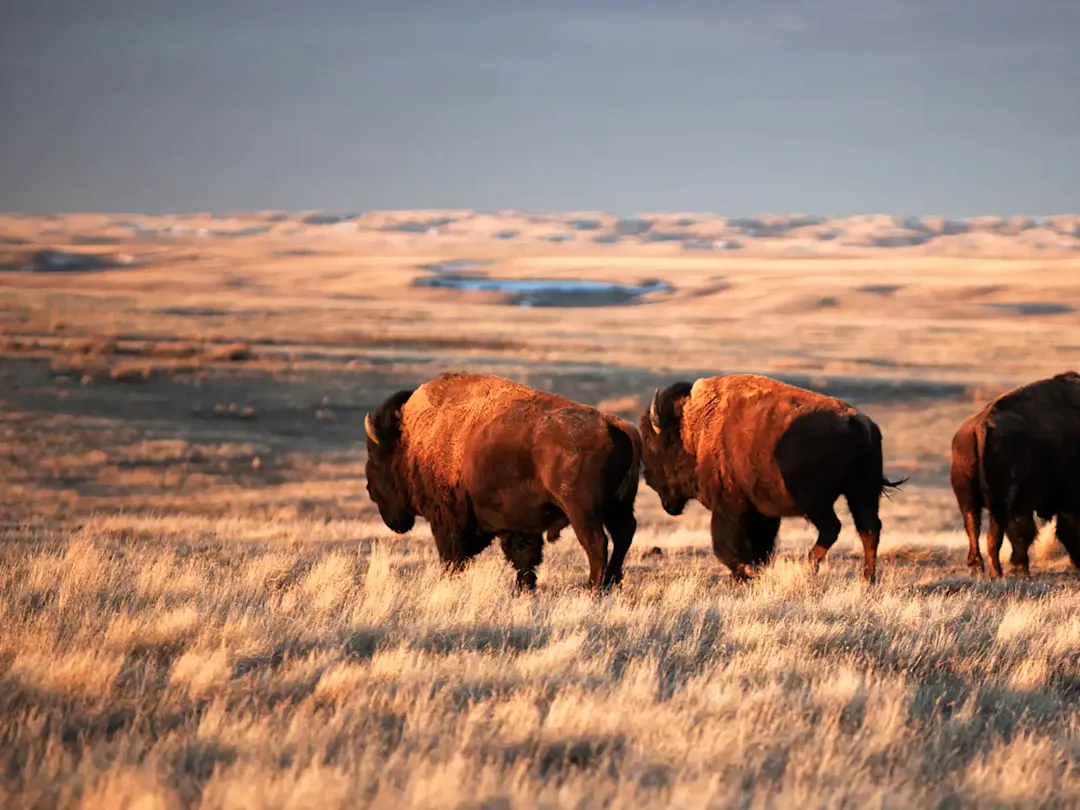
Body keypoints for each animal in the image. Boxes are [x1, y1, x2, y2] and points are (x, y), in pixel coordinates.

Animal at [367, 373, 643, 591]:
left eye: (376, 459)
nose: (370, 489)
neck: (410, 441)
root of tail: (614, 424)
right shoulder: (518, 523)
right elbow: (523, 557)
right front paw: (525, 587)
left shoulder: (447, 519)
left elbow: (453, 555)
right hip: (619, 506)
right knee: (623, 536)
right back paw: (611, 583)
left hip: (583, 512)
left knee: (597, 544)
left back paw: (593, 589)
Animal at [635, 373, 907, 583]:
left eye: (650, 440)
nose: (646, 477)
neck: (695, 428)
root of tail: (857, 422)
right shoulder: (761, 511)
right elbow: (759, 544)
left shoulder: (730, 505)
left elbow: (726, 544)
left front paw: (745, 572)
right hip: (861, 492)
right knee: (868, 529)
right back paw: (867, 580)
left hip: (817, 501)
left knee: (833, 527)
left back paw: (809, 567)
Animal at [950, 371, 1080, 578]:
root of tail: (981, 425)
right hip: (1002, 502)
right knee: (993, 536)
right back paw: (997, 574)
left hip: (969, 501)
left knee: (974, 530)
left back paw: (979, 571)